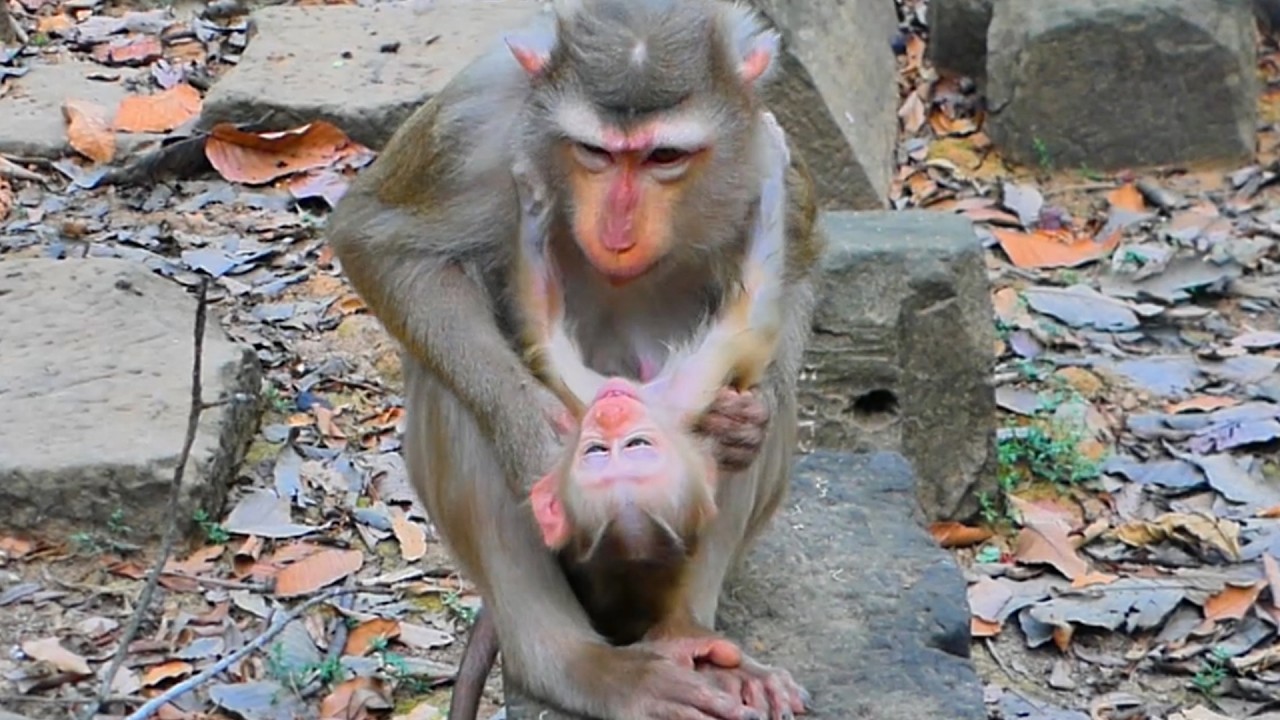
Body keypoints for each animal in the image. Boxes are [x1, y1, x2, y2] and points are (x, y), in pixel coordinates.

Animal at [325, 1, 825, 718]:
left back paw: (687, 629)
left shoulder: (756, 145)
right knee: (449, 386)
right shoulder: (475, 117)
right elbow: (377, 240)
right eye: (594, 152)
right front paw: (526, 424)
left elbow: (799, 264)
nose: (616, 232)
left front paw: (742, 424)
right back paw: (566, 664)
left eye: (664, 157)